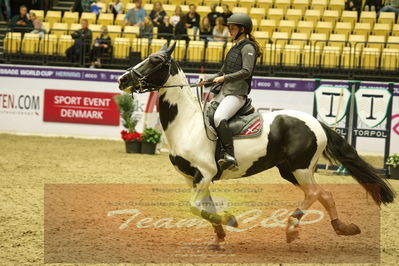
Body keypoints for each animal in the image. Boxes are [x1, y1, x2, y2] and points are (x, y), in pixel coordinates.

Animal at [118, 42, 396, 248]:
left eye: (155, 60)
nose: (122, 79)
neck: (188, 122)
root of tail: (315, 121)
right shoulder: (193, 178)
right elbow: (204, 207)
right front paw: (220, 235)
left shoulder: (204, 174)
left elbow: (195, 207)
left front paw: (229, 221)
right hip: (289, 170)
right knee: (323, 194)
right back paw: (343, 228)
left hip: (301, 168)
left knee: (315, 194)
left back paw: (292, 229)